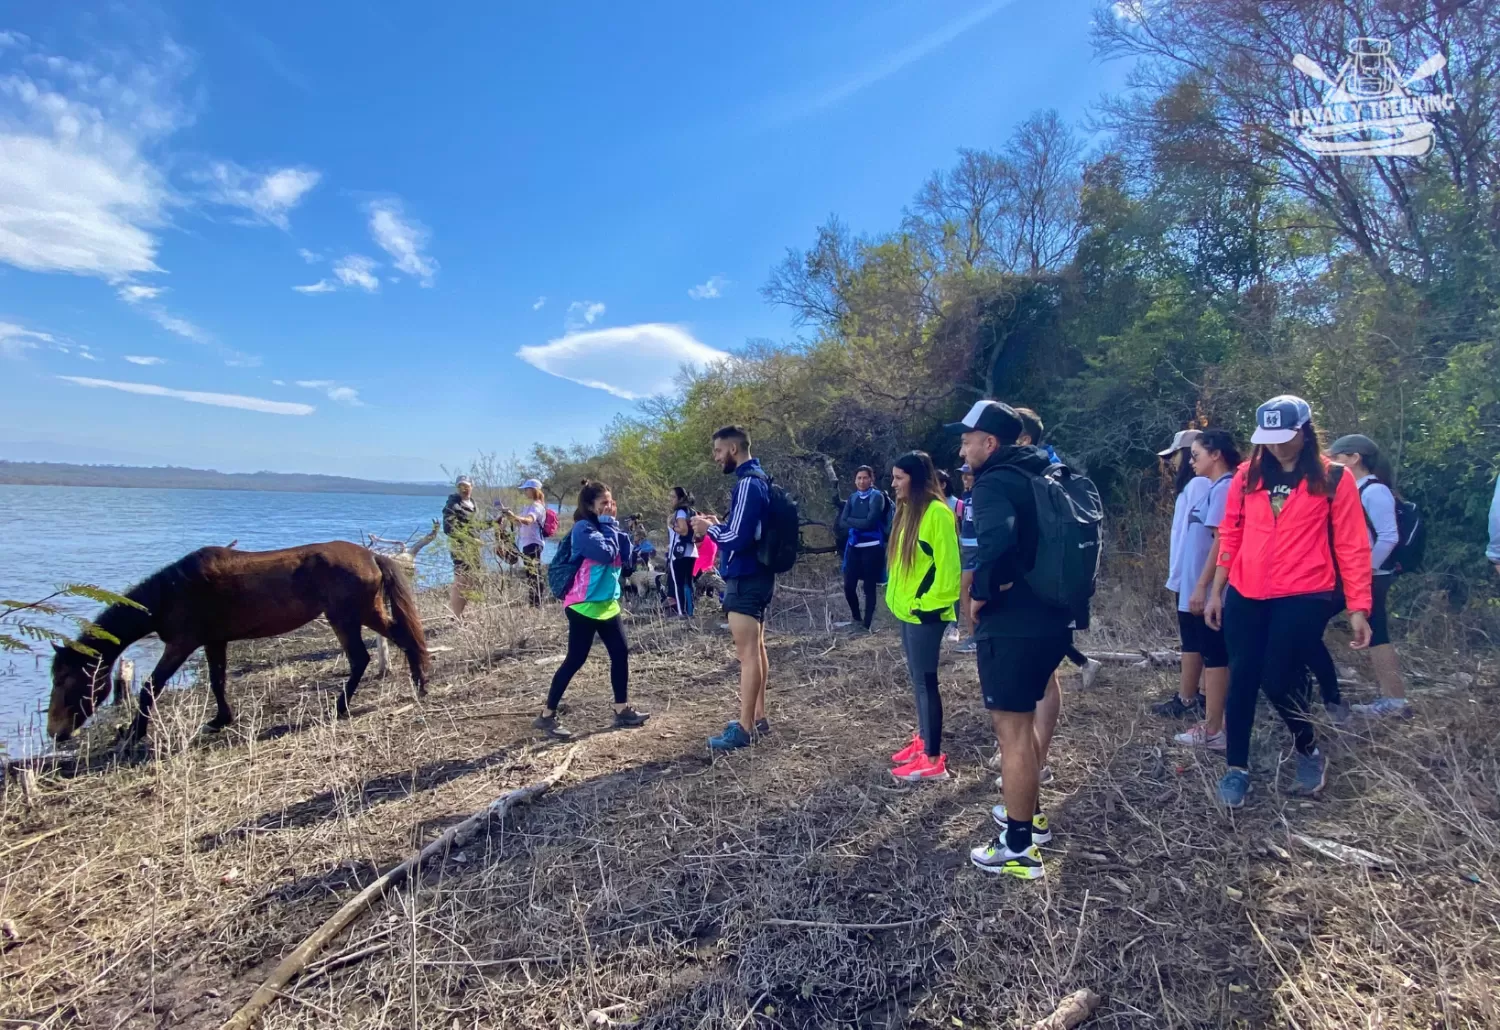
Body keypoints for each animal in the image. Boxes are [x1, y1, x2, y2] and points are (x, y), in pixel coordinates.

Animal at [48, 539, 429, 749]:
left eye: (65, 679)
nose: (55, 732)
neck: (171, 593)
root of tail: (371, 556)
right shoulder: (214, 641)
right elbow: (217, 681)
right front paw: (221, 719)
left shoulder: (181, 644)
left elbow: (150, 687)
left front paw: (134, 733)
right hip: (364, 613)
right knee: (403, 639)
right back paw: (419, 684)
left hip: (347, 617)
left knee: (362, 657)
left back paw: (344, 706)